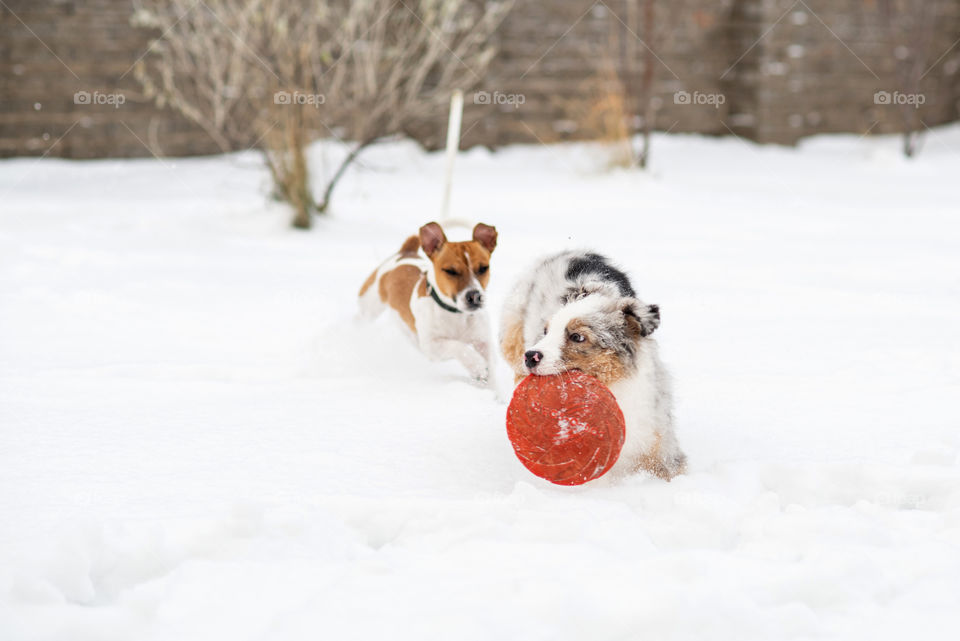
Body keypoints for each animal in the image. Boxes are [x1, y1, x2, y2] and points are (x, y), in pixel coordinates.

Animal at [358, 221, 498, 380]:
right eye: (450, 271)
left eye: (483, 268)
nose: (475, 296)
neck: (455, 314)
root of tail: (405, 252)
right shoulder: (432, 346)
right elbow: (458, 346)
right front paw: (477, 365)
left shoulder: (483, 342)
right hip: (369, 307)